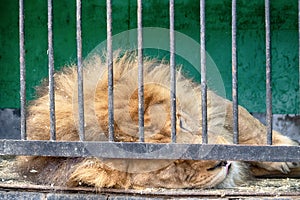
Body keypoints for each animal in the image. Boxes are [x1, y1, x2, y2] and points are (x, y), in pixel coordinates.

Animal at [17, 51, 298, 189]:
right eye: (168, 164)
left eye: (182, 124)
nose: (223, 161)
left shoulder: (204, 98)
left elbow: (246, 122)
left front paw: (283, 152)